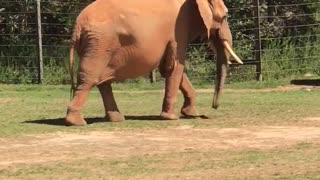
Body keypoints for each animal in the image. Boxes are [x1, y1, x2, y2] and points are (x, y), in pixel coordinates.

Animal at [65, 0, 241, 126]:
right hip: (99, 45)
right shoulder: (178, 28)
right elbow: (175, 67)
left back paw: (117, 119)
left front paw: (190, 114)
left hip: (97, 45)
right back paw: (76, 122)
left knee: (102, 82)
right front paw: (172, 118)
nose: (214, 106)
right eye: (225, 16)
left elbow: (170, 68)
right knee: (89, 79)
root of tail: (77, 26)